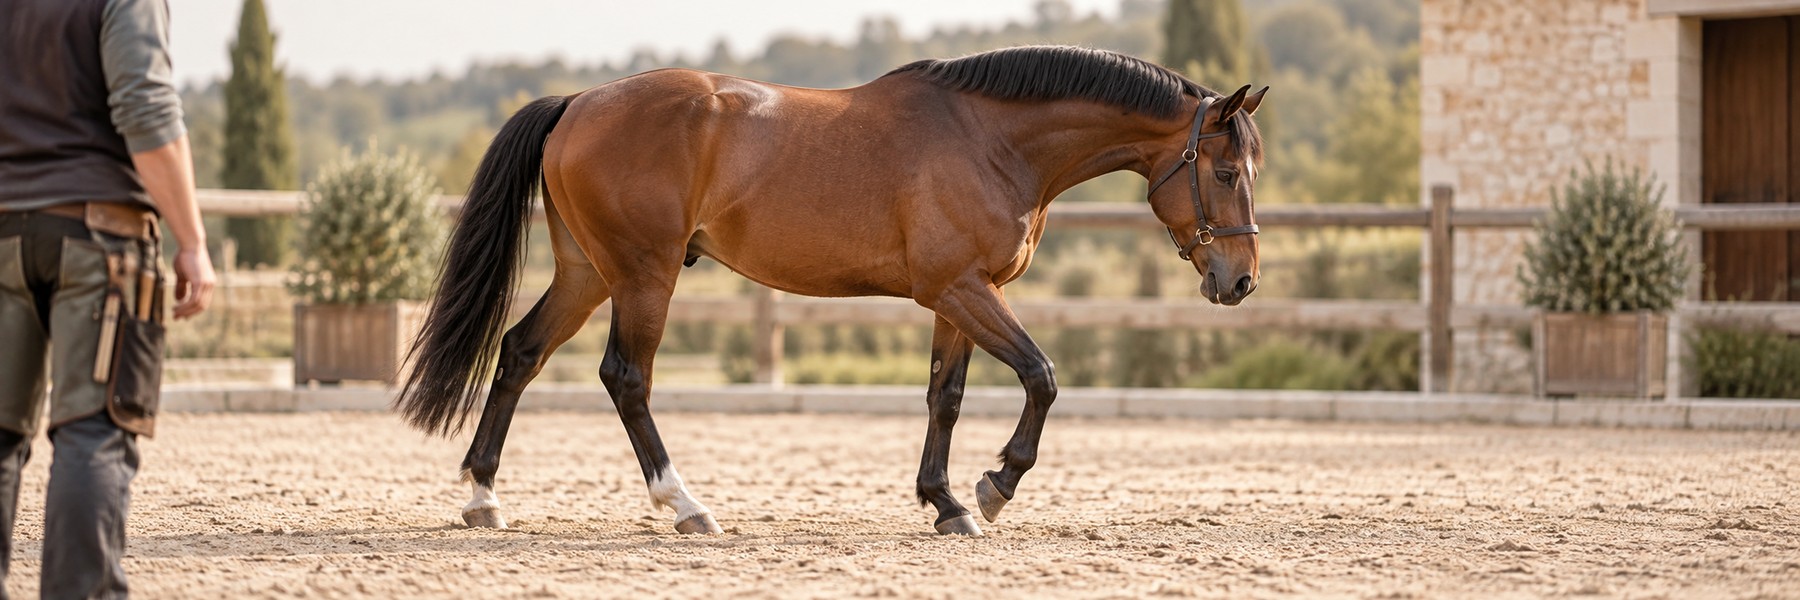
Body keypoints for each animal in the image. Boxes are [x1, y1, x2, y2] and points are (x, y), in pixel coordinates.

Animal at [397, 45, 1266, 536]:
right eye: (1225, 171)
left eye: (1251, 169)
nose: (1242, 281)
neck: (990, 138)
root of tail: (577, 103)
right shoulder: (964, 289)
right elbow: (1042, 377)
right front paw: (994, 488)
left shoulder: (959, 296)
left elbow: (945, 398)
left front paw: (945, 504)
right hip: (643, 275)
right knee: (627, 378)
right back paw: (687, 506)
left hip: (585, 272)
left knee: (519, 354)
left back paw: (482, 497)